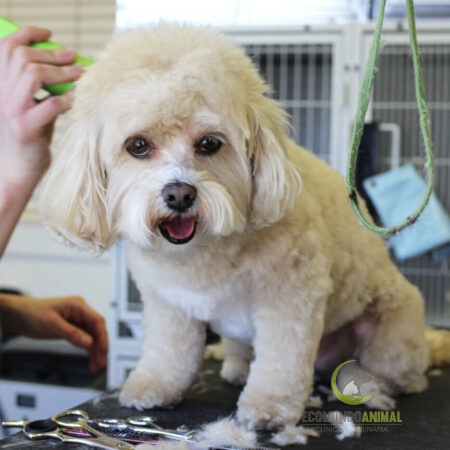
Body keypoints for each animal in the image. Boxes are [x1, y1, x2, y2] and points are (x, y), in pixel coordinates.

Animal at [40, 23, 442, 428]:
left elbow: (281, 359)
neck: (201, 251)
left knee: (398, 368)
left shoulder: (292, 297)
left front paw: (269, 406)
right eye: (138, 146)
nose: (180, 194)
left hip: (391, 323)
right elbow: (168, 352)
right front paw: (153, 386)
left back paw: (385, 386)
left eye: (209, 143)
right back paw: (237, 367)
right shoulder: (167, 302)